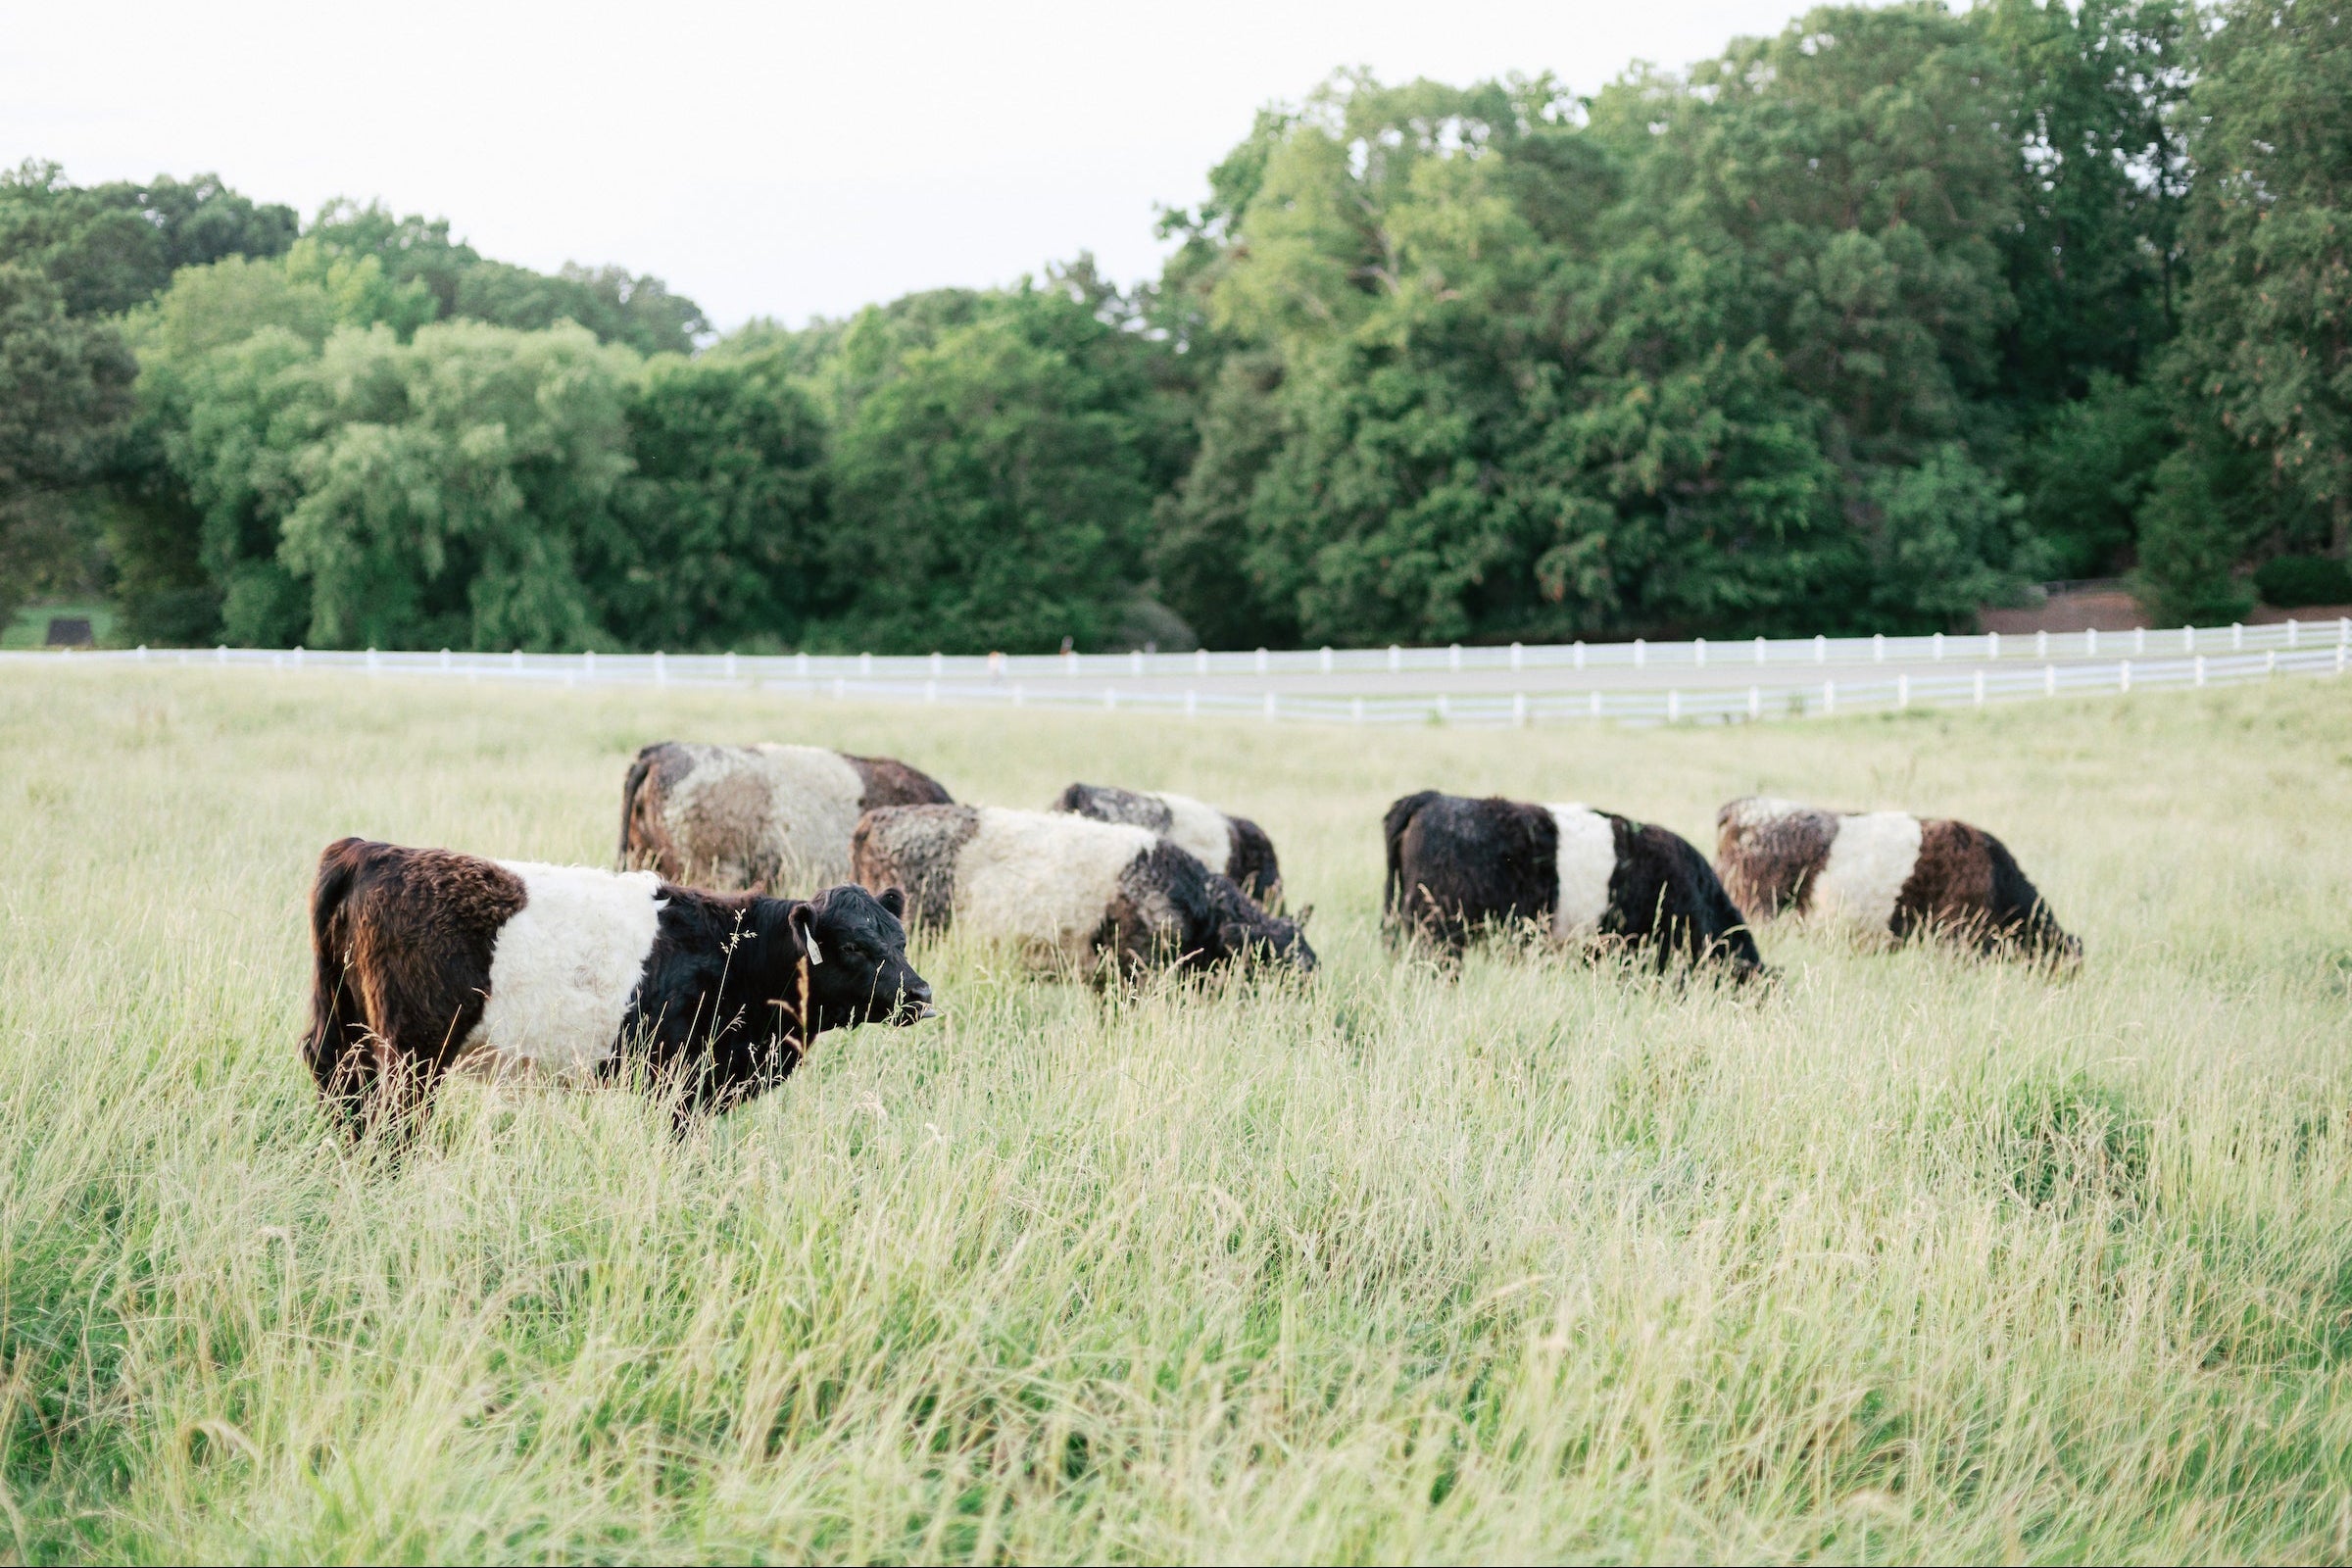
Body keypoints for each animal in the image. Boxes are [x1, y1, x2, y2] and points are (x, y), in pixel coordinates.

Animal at [304, 836, 933, 1136]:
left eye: (900, 939)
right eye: (852, 946)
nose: (922, 996)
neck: (739, 954)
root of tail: (369, 850)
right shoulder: (686, 1089)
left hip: (347, 1028)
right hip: (411, 1052)